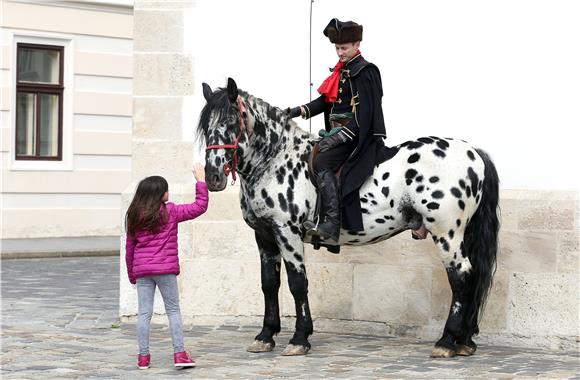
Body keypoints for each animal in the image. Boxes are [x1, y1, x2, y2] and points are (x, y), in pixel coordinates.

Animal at [197, 78, 500, 360]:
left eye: (231, 120)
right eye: (205, 126)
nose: (213, 177)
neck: (274, 161)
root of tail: (474, 153)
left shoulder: (288, 232)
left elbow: (297, 283)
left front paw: (299, 338)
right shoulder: (264, 234)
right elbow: (269, 284)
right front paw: (265, 335)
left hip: (446, 232)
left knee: (460, 277)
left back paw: (447, 341)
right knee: (472, 278)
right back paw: (464, 341)